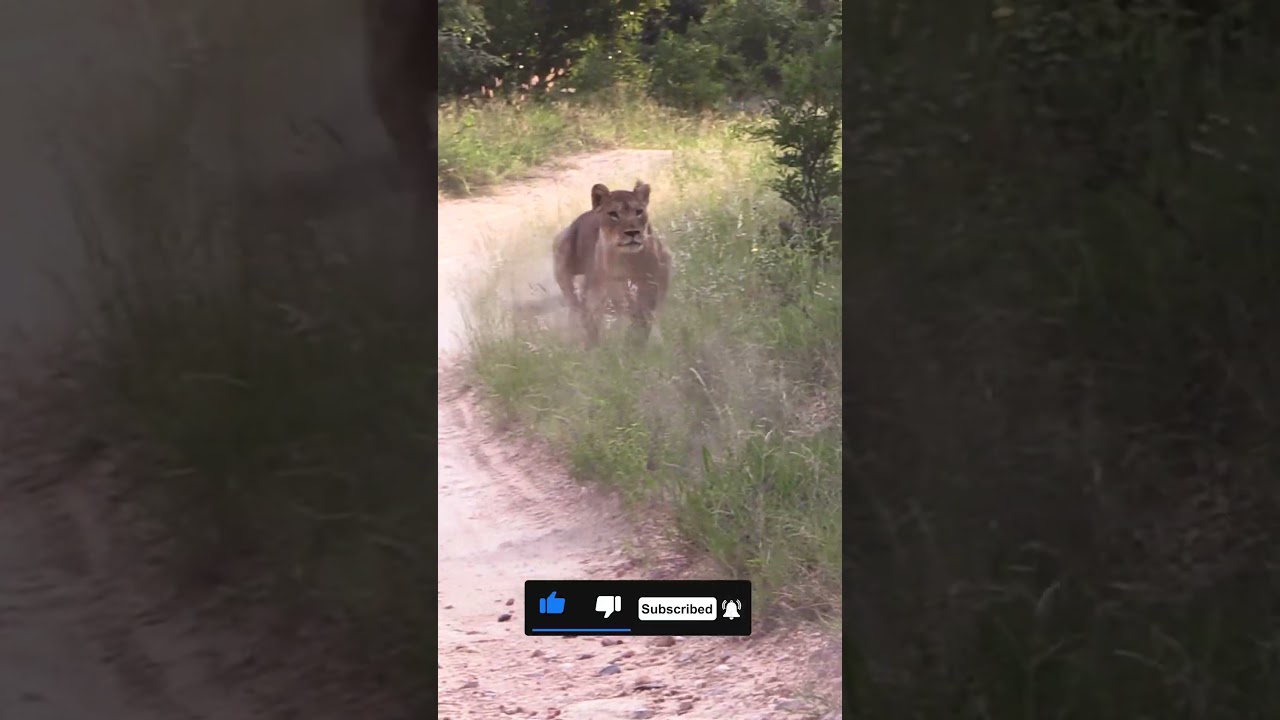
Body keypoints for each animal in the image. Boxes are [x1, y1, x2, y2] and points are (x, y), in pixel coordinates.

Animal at [553, 181, 672, 347]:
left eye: (639, 211)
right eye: (613, 214)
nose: (633, 232)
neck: (630, 258)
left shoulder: (663, 269)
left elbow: (654, 310)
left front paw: (654, 339)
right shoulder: (615, 282)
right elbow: (630, 307)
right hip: (565, 271)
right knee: (579, 310)